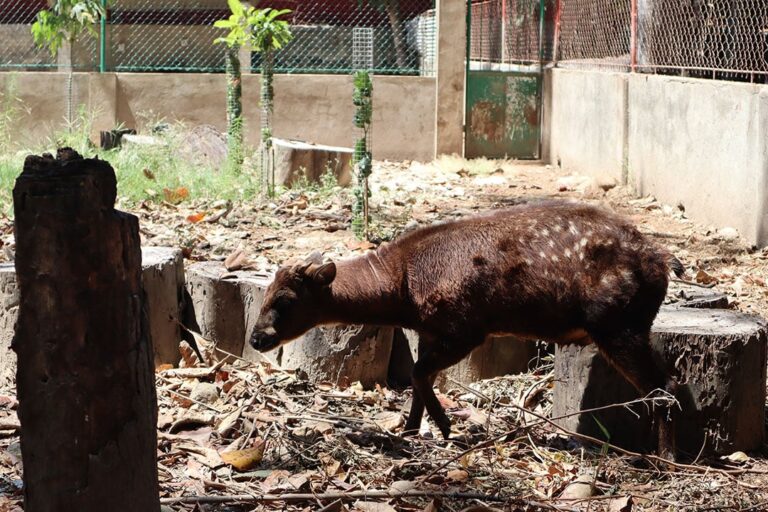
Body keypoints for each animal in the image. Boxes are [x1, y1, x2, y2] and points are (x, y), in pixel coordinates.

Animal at [249, 200, 683, 460]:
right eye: (264, 291)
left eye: (284, 300)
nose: (257, 338)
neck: (404, 289)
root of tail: (663, 261)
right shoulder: (429, 329)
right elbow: (419, 377)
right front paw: (411, 429)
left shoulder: (467, 327)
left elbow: (418, 372)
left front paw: (443, 427)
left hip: (619, 324)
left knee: (664, 385)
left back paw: (666, 460)